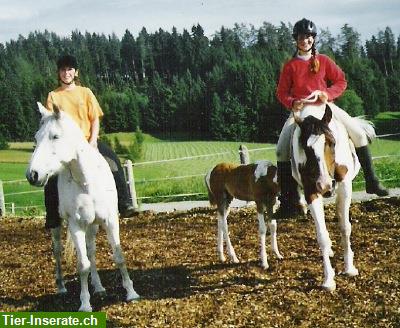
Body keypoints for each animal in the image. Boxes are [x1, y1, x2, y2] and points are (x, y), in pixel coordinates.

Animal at [26, 102, 139, 310]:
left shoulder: (110, 220)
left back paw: (99, 287)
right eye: (36, 138)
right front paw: (85, 304)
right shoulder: (76, 225)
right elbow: (82, 265)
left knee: (91, 250)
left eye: (55, 136)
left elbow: (118, 256)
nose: (32, 175)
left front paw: (131, 293)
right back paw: (62, 287)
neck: (86, 181)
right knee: (58, 251)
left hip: (93, 225)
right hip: (58, 224)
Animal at [292, 96, 364, 290]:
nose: (325, 185)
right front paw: (328, 279)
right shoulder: (311, 191)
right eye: (306, 149)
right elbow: (322, 236)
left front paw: (349, 267)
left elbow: (345, 227)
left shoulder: (345, 186)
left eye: (331, 142)